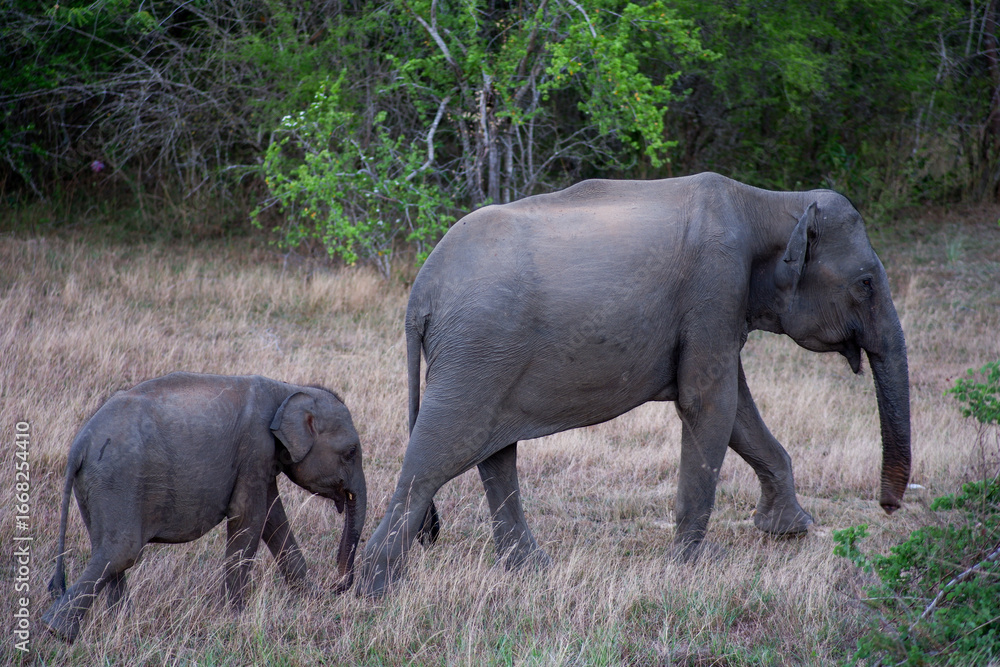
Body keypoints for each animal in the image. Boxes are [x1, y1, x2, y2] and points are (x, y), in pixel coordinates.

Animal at [41, 372, 367, 643]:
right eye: (351, 453)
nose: (336, 587)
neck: (287, 389)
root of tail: (79, 445)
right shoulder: (255, 449)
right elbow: (250, 519)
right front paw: (235, 616)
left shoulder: (263, 459)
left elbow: (273, 519)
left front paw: (312, 599)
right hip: (117, 480)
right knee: (122, 551)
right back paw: (58, 631)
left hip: (95, 488)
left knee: (108, 551)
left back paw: (121, 623)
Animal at [358, 172, 911, 597]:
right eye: (865, 284)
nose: (889, 507)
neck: (772, 202)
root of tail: (420, 294)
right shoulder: (716, 286)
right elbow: (709, 404)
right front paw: (693, 567)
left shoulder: (719, 304)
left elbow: (736, 409)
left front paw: (790, 531)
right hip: (477, 351)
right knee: (436, 458)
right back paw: (375, 589)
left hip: (485, 359)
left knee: (492, 454)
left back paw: (531, 572)